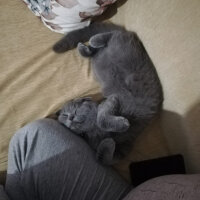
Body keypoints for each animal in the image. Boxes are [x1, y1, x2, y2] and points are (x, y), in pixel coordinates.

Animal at [54, 22, 163, 165]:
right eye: (65, 115)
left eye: (76, 110)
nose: (71, 117)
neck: (93, 130)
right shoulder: (124, 149)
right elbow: (104, 160)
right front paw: (108, 142)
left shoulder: (112, 100)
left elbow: (102, 119)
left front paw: (121, 125)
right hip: (100, 56)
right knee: (96, 50)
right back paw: (85, 48)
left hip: (121, 46)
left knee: (112, 35)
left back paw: (94, 40)